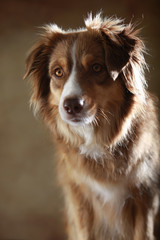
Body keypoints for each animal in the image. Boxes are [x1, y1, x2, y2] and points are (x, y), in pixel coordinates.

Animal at [24, 14, 159, 240]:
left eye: (97, 67)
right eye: (58, 72)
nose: (71, 105)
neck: (101, 141)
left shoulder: (145, 196)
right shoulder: (81, 201)